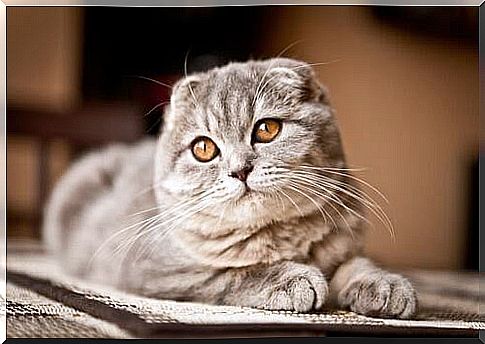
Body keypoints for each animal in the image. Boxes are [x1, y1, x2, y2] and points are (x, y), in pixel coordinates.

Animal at [43, 57, 416, 318]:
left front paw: (384, 285)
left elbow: (356, 265)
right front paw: (292, 279)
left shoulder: (344, 245)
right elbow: (232, 274)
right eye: (204, 148)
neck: (281, 238)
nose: (240, 170)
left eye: (266, 129)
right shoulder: (161, 272)